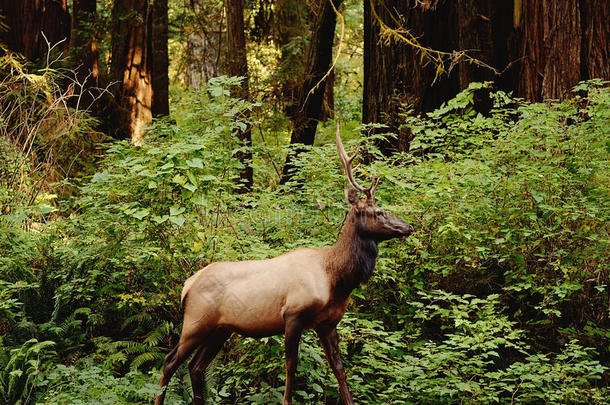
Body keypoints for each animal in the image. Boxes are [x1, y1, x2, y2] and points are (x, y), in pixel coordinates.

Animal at [156, 124, 414, 402]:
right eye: (378, 212)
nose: (407, 227)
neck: (336, 279)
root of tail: (187, 286)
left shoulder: (327, 323)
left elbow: (339, 368)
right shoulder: (293, 315)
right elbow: (291, 367)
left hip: (220, 329)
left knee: (196, 366)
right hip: (196, 321)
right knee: (170, 361)